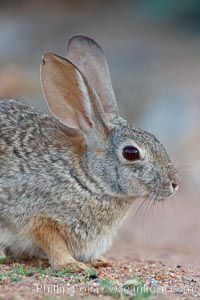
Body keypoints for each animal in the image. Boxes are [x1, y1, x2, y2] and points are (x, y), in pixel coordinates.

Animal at [0, 35, 180, 272]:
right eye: (131, 153)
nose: (175, 183)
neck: (88, 178)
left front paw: (98, 261)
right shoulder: (38, 216)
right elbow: (52, 241)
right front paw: (71, 265)